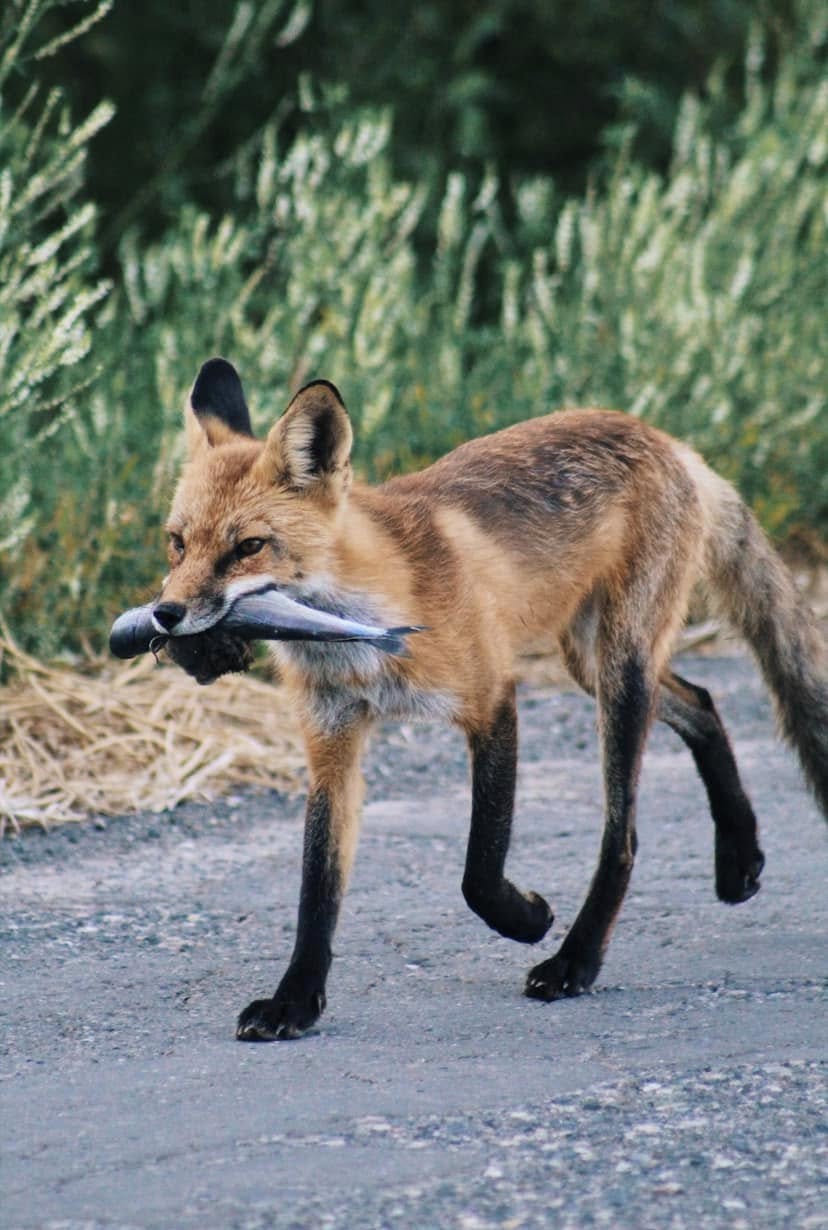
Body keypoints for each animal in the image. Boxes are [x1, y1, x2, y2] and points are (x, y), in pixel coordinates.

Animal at [151, 357, 828, 1041]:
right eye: (178, 542)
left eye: (248, 547)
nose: (165, 615)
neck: (366, 626)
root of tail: (669, 441)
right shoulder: (333, 743)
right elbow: (317, 890)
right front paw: (295, 1001)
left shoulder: (492, 699)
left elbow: (478, 870)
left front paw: (527, 918)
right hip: (590, 662)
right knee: (705, 702)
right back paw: (739, 857)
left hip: (620, 673)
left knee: (624, 837)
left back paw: (575, 961)